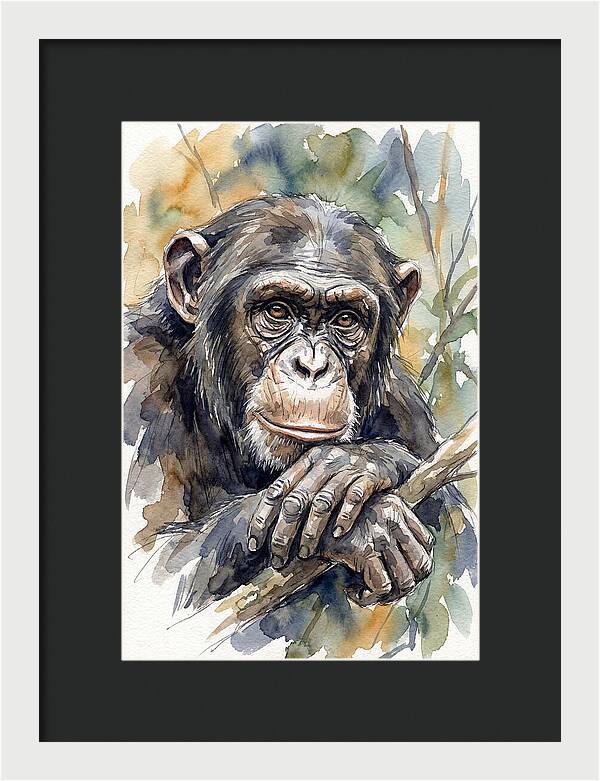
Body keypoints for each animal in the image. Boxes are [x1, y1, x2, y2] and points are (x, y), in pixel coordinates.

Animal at [124, 195, 477, 621]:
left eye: (346, 319)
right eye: (277, 311)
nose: (312, 366)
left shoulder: (404, 405)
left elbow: (462, 539)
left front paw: (355, 464)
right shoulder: (139, 380)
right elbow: (154, 568)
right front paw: (370, 524)